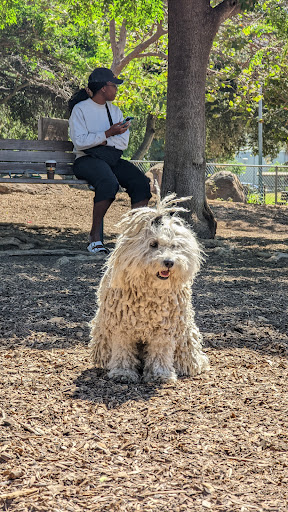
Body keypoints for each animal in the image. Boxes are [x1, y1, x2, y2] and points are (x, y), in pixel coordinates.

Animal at [90, 190, 209, 382]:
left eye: (174, 245)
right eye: (153, 244)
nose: (169, 262)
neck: (150, 291)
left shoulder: (165, 328)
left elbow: (160, 351)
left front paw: (160, 374)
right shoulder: (122, 327)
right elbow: (123, 350)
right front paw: (123, 373)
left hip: (185, 337)